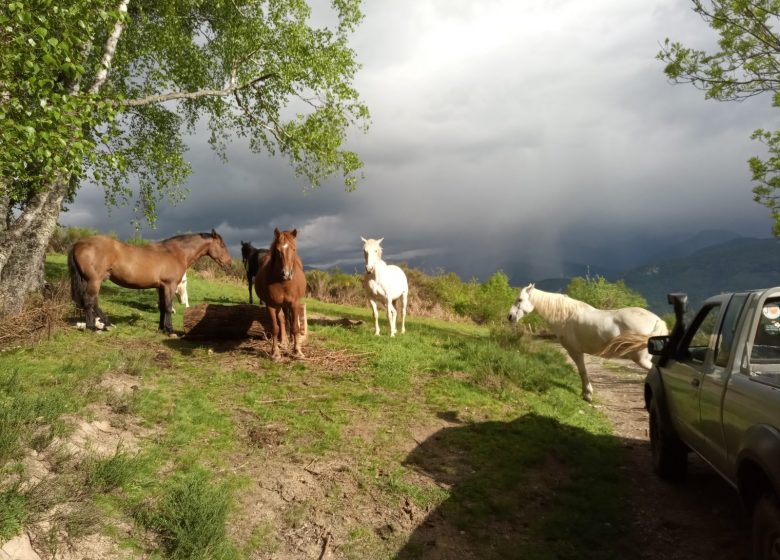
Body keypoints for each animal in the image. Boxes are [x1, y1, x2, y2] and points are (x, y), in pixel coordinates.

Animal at [69, 231, 232, 334]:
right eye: (222, 245)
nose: (229, 264)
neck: (175, 253)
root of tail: (79, 243)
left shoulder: (161, 287)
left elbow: (162, 307)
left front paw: (161, 328)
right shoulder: (169, 285)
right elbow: (168, 307)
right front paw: (170, 330)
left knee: (92, 302)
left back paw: (106, 324)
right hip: (94, 281)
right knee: (89, 301)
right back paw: (93, 327)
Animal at [254, 228, 306, 358]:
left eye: (294, 249)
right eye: (278, 250)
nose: (286, 274)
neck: (283, 283)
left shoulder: (294, 304)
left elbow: (295, 327)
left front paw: (297, 351)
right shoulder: (271, 306)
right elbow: (275, 328)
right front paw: (275, 352)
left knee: (289, 320)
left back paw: (291, 340)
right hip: (278, 305)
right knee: (282, 319)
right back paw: (283, 341)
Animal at [506, 284, 672, 402]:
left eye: (520, 300)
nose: (510, 316)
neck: (566, 316)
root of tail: (657, 320)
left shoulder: (575, 352)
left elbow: (582, 371)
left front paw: (587, 395)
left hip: (641, 359)